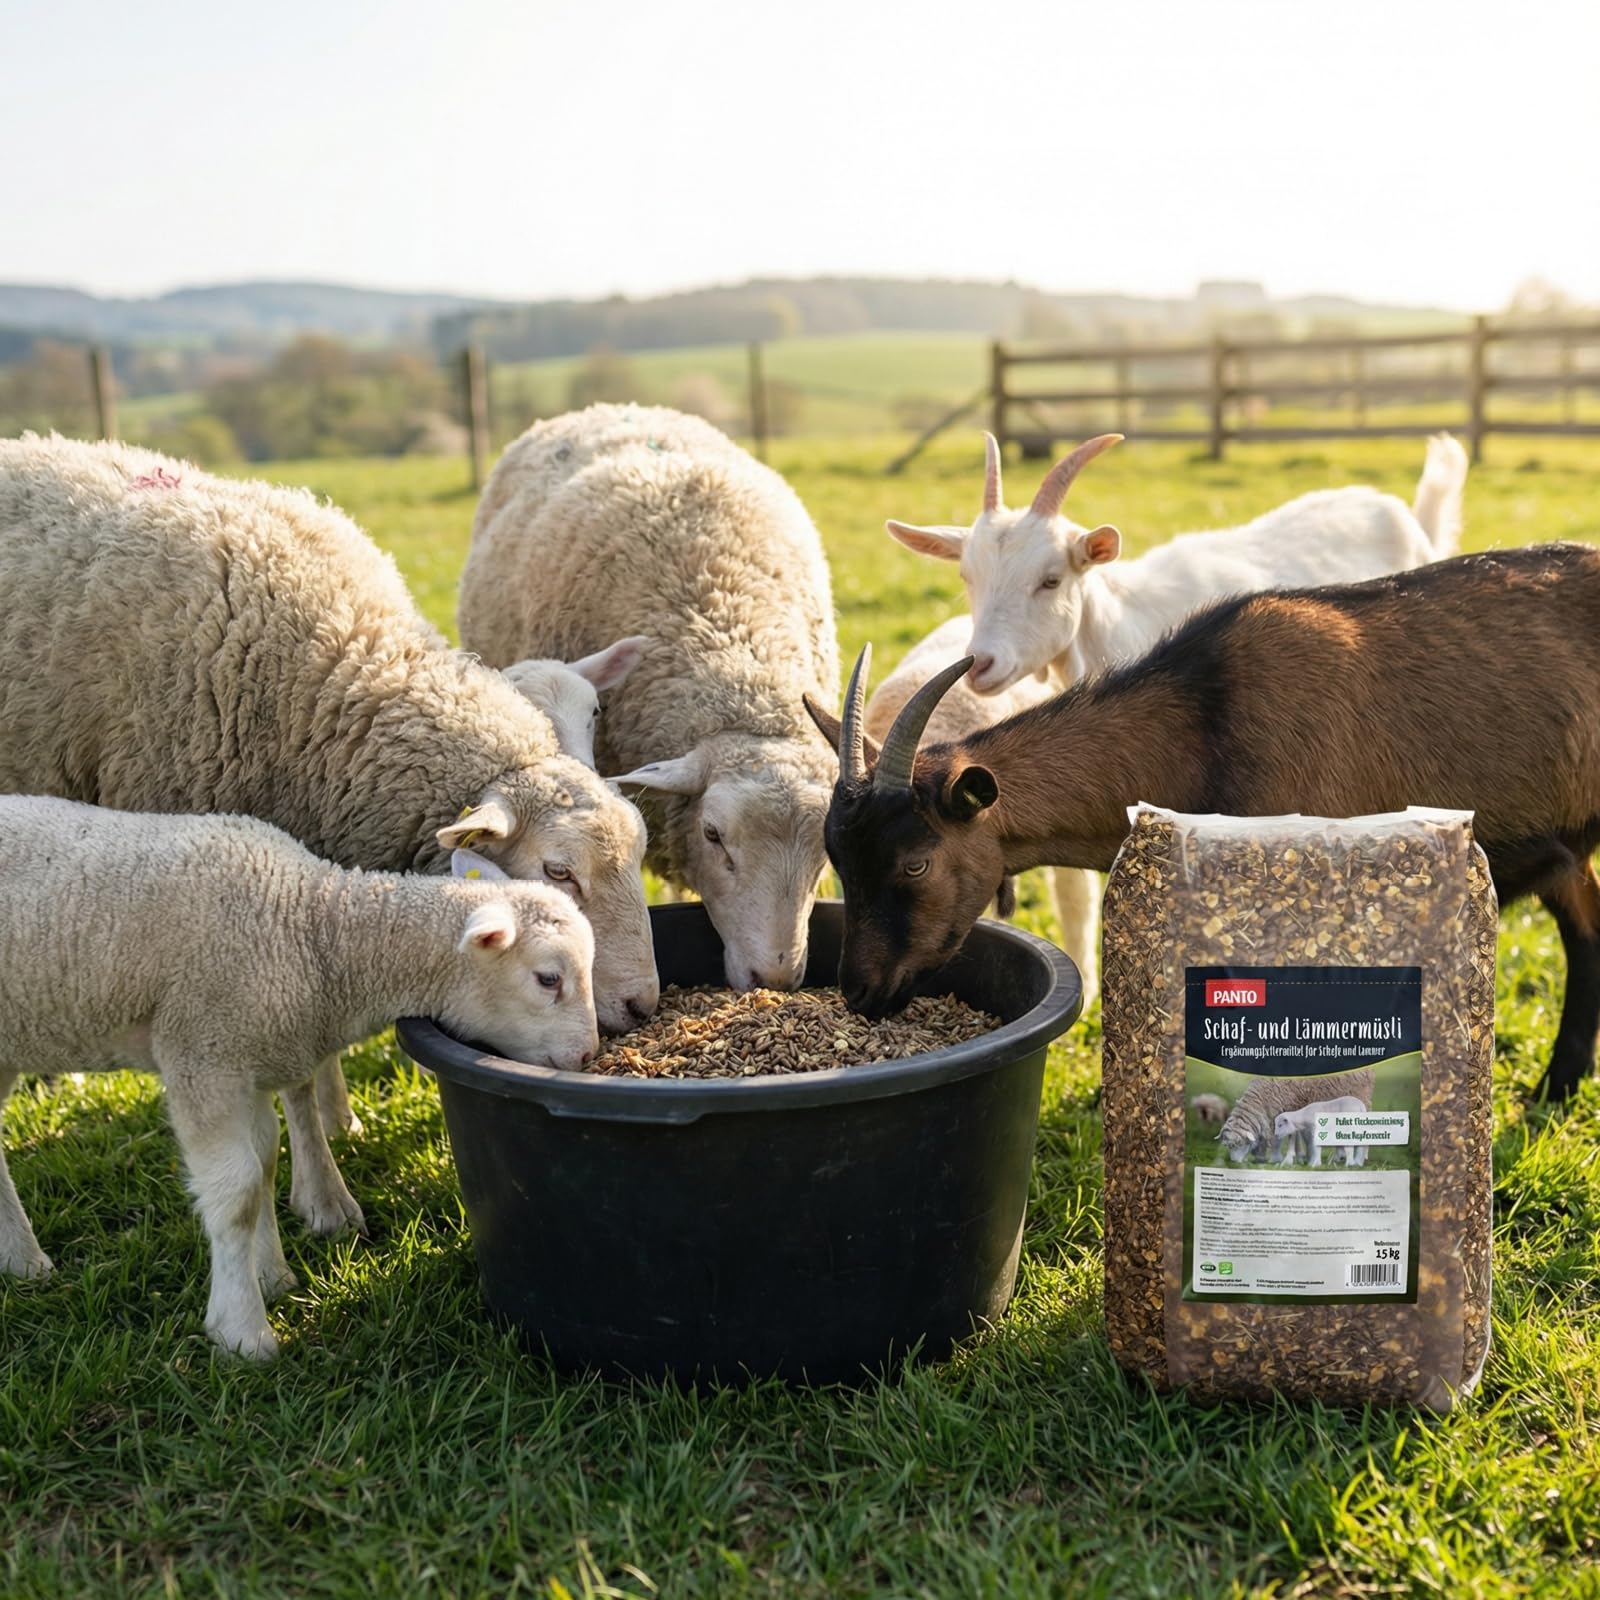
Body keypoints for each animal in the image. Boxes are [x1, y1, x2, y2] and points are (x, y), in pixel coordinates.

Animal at [0, 796, 597, 1359]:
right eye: (548, 979)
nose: (590, 1055)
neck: (312, 927)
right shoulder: (202, 1053)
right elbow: (237, 1191)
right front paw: (242, 1329)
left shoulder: (249, 1061)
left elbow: (265, 1163)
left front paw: (271, 1276)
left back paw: (21, 1261)